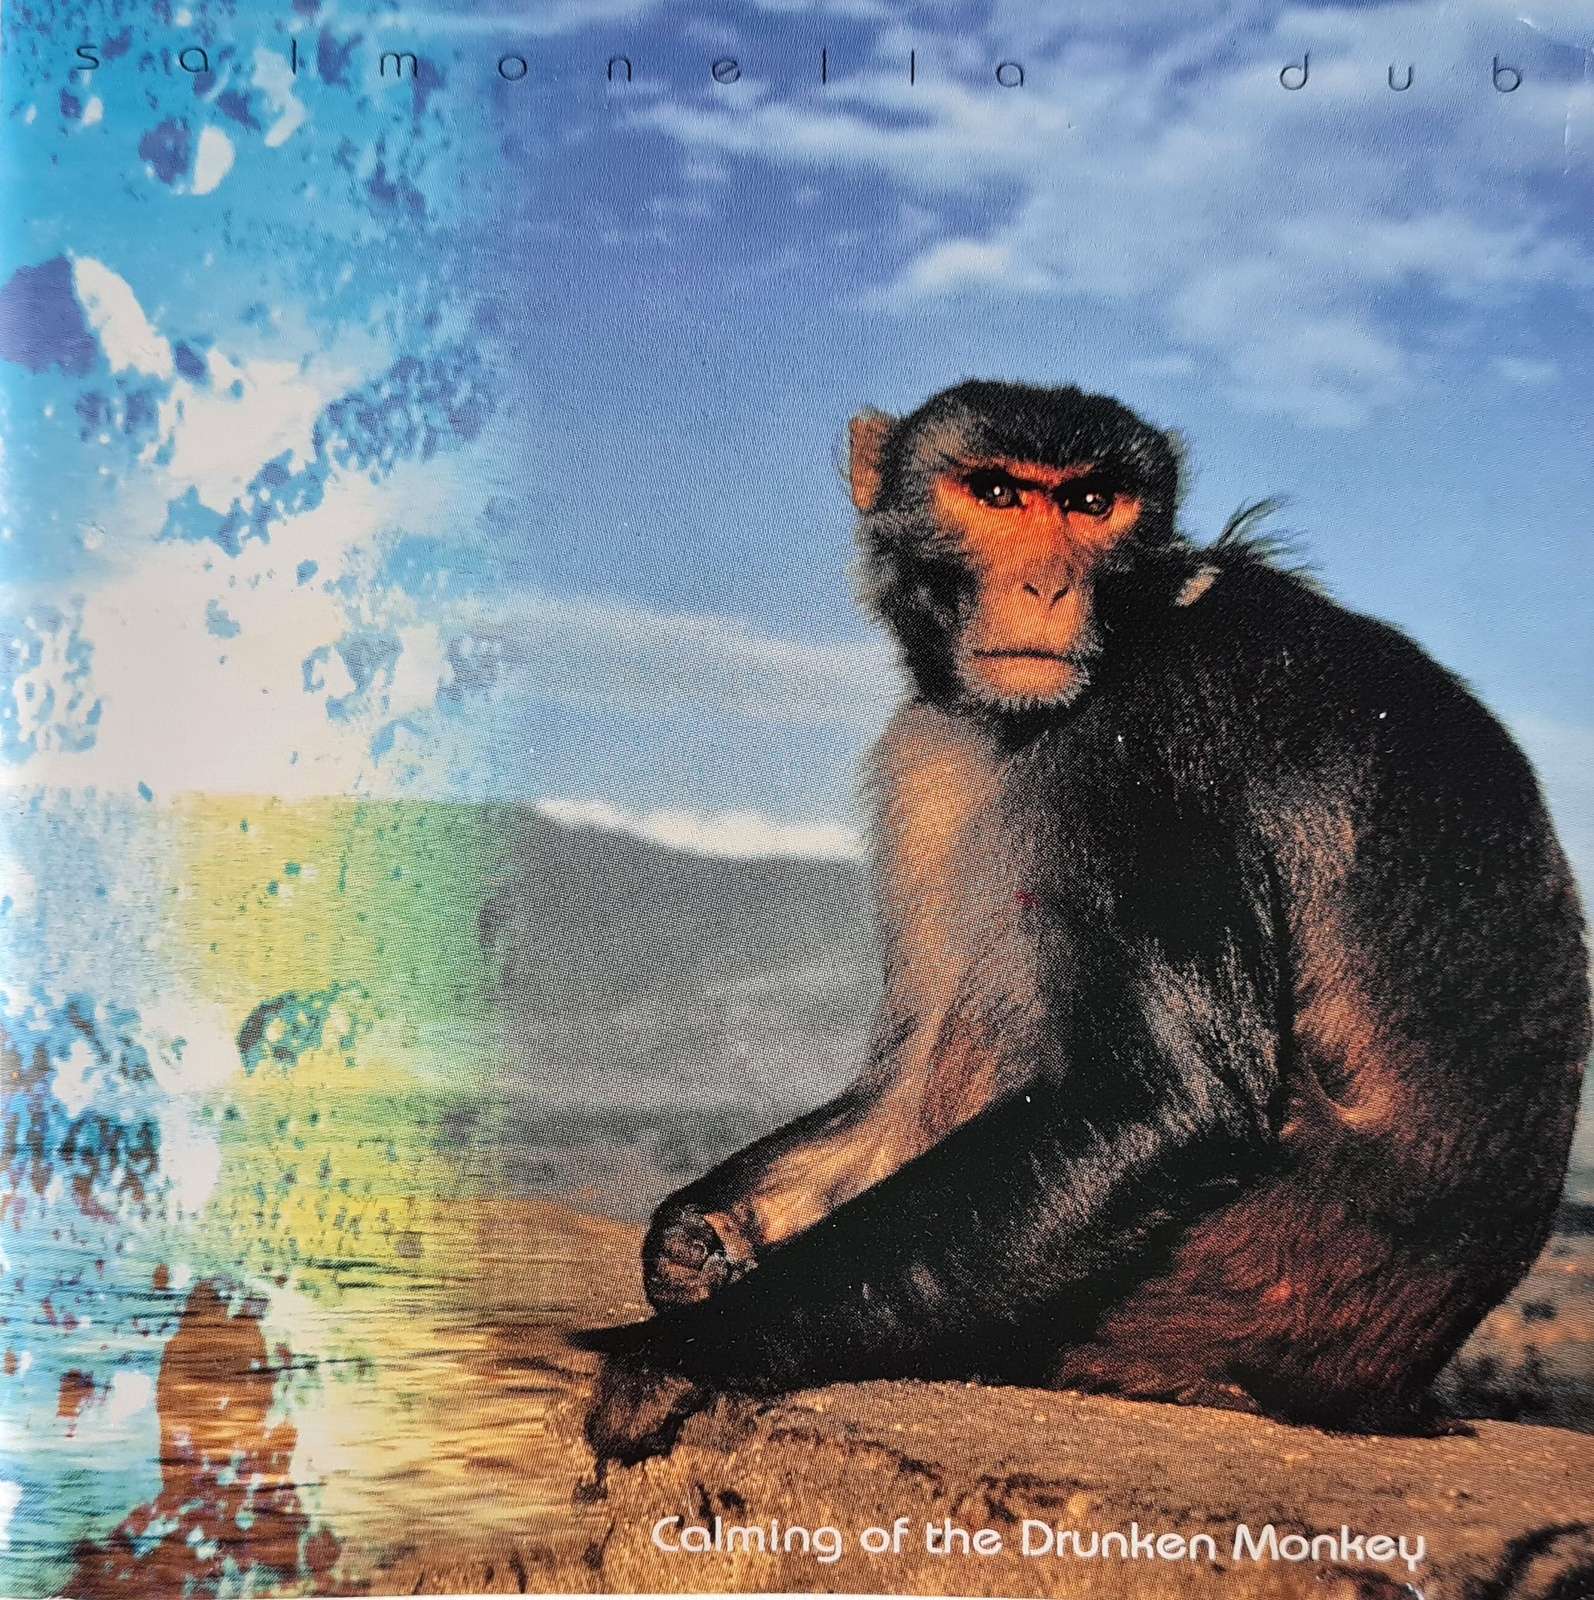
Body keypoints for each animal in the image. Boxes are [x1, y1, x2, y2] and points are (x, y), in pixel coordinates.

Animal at [572, 379, 1590, 1465]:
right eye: (996, 493)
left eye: (1093, 503)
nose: (1049, 588)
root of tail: (1382, 1391)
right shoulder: (939, 746)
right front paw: (699, 1236)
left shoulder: (1152, 725)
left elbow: (1162, 1106)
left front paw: (684, 1350)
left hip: (1207, 1299)